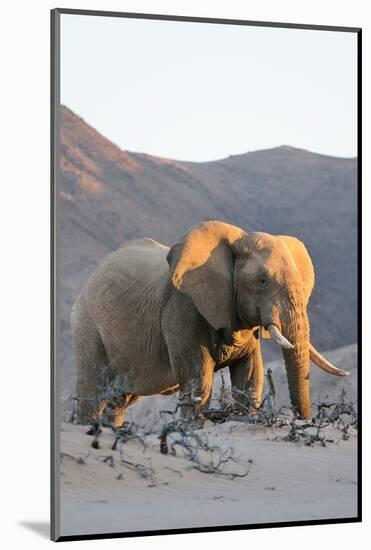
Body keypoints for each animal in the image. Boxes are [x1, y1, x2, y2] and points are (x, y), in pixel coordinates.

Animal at [71, 222, 350, 430]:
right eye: (262, 281)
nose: (303, 420)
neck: (236, 243)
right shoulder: (182, 308)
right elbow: (199, 378)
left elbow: (251, 375)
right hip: (87, 324)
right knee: (92, 394)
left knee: (118, 401)